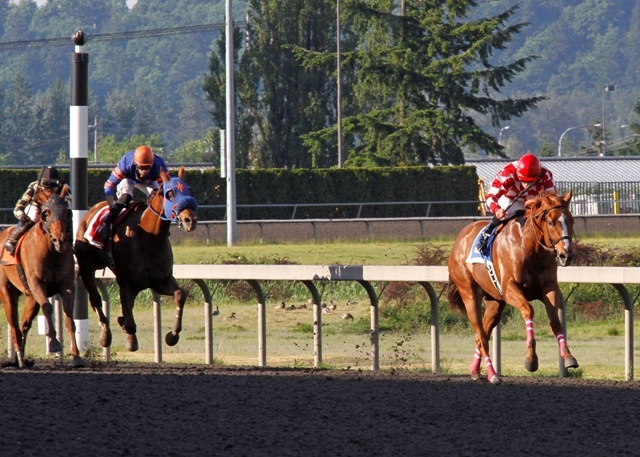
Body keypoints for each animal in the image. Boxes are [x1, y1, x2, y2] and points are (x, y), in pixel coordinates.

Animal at [0, 186, 83, 366]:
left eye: (67, 212)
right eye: (46, 213)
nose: (60, 240)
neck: (51, 252)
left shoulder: (67, 284)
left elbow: (69, 316)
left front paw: (76, 356)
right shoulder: (37, 283)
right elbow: (47, 307)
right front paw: (54, 344)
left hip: (30, 297)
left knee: (24, 324)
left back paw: (22, 358)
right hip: (7, 291)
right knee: (14, 324)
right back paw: (20, 359)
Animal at [74, 166, 198, 350]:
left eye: (190, 190)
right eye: (170, 194)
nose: (190, 220)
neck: (150, 238)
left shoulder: (160, 280)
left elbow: (180, 294)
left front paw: (172, 335)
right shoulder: (126, 283)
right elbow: (130, 322)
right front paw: (129, 338)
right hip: (86, 266)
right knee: (95, 299)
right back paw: (105, 334)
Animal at [448, 191, 576, 382]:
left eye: (571, 220)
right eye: (551, 222)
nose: (566, 255)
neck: (530, 248)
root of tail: (459, 239)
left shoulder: (549, 287)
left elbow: (555, 320)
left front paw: (568, 357)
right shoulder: (510, 289)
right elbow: (529, 310)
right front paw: (531, 360)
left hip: (495, 302)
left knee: (483, 333)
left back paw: (475, 370)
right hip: (469, 294)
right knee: (481, 336)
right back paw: (493, 374)